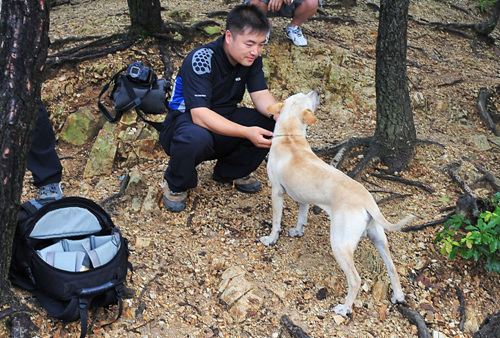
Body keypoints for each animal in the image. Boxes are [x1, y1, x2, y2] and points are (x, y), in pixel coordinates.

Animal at [262, 90, 414, 316]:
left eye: (308, 97)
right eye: (303, 94)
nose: (317, 90)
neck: (290, 137)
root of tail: (366, 199)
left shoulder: (276, 192)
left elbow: (276, 222)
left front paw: (271, 239)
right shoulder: (303, 198)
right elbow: (301, 217)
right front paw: (298, 231)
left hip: (340, 244)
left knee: (355, 279)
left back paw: (344, 308)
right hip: (378, 238)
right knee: (392, 268)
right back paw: (398, 296)